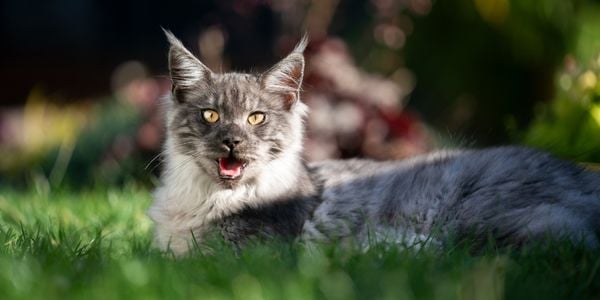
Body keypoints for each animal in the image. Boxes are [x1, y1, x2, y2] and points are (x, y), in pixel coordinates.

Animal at [146, 31, 600, 255]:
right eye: (210, 115)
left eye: (256, 117)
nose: (232, 142)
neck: (206, 201)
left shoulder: (246, 253)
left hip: (486, 220)